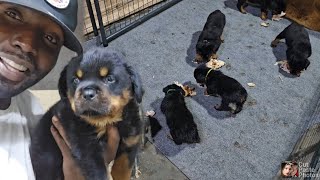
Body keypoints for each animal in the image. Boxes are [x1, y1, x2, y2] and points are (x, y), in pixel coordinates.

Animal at [30, 47, 144, 179]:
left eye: (109, 79)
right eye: (75, 80)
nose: (88, 93)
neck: (106, 120)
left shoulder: (131, 140)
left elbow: (122, 170)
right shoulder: (87, 149)